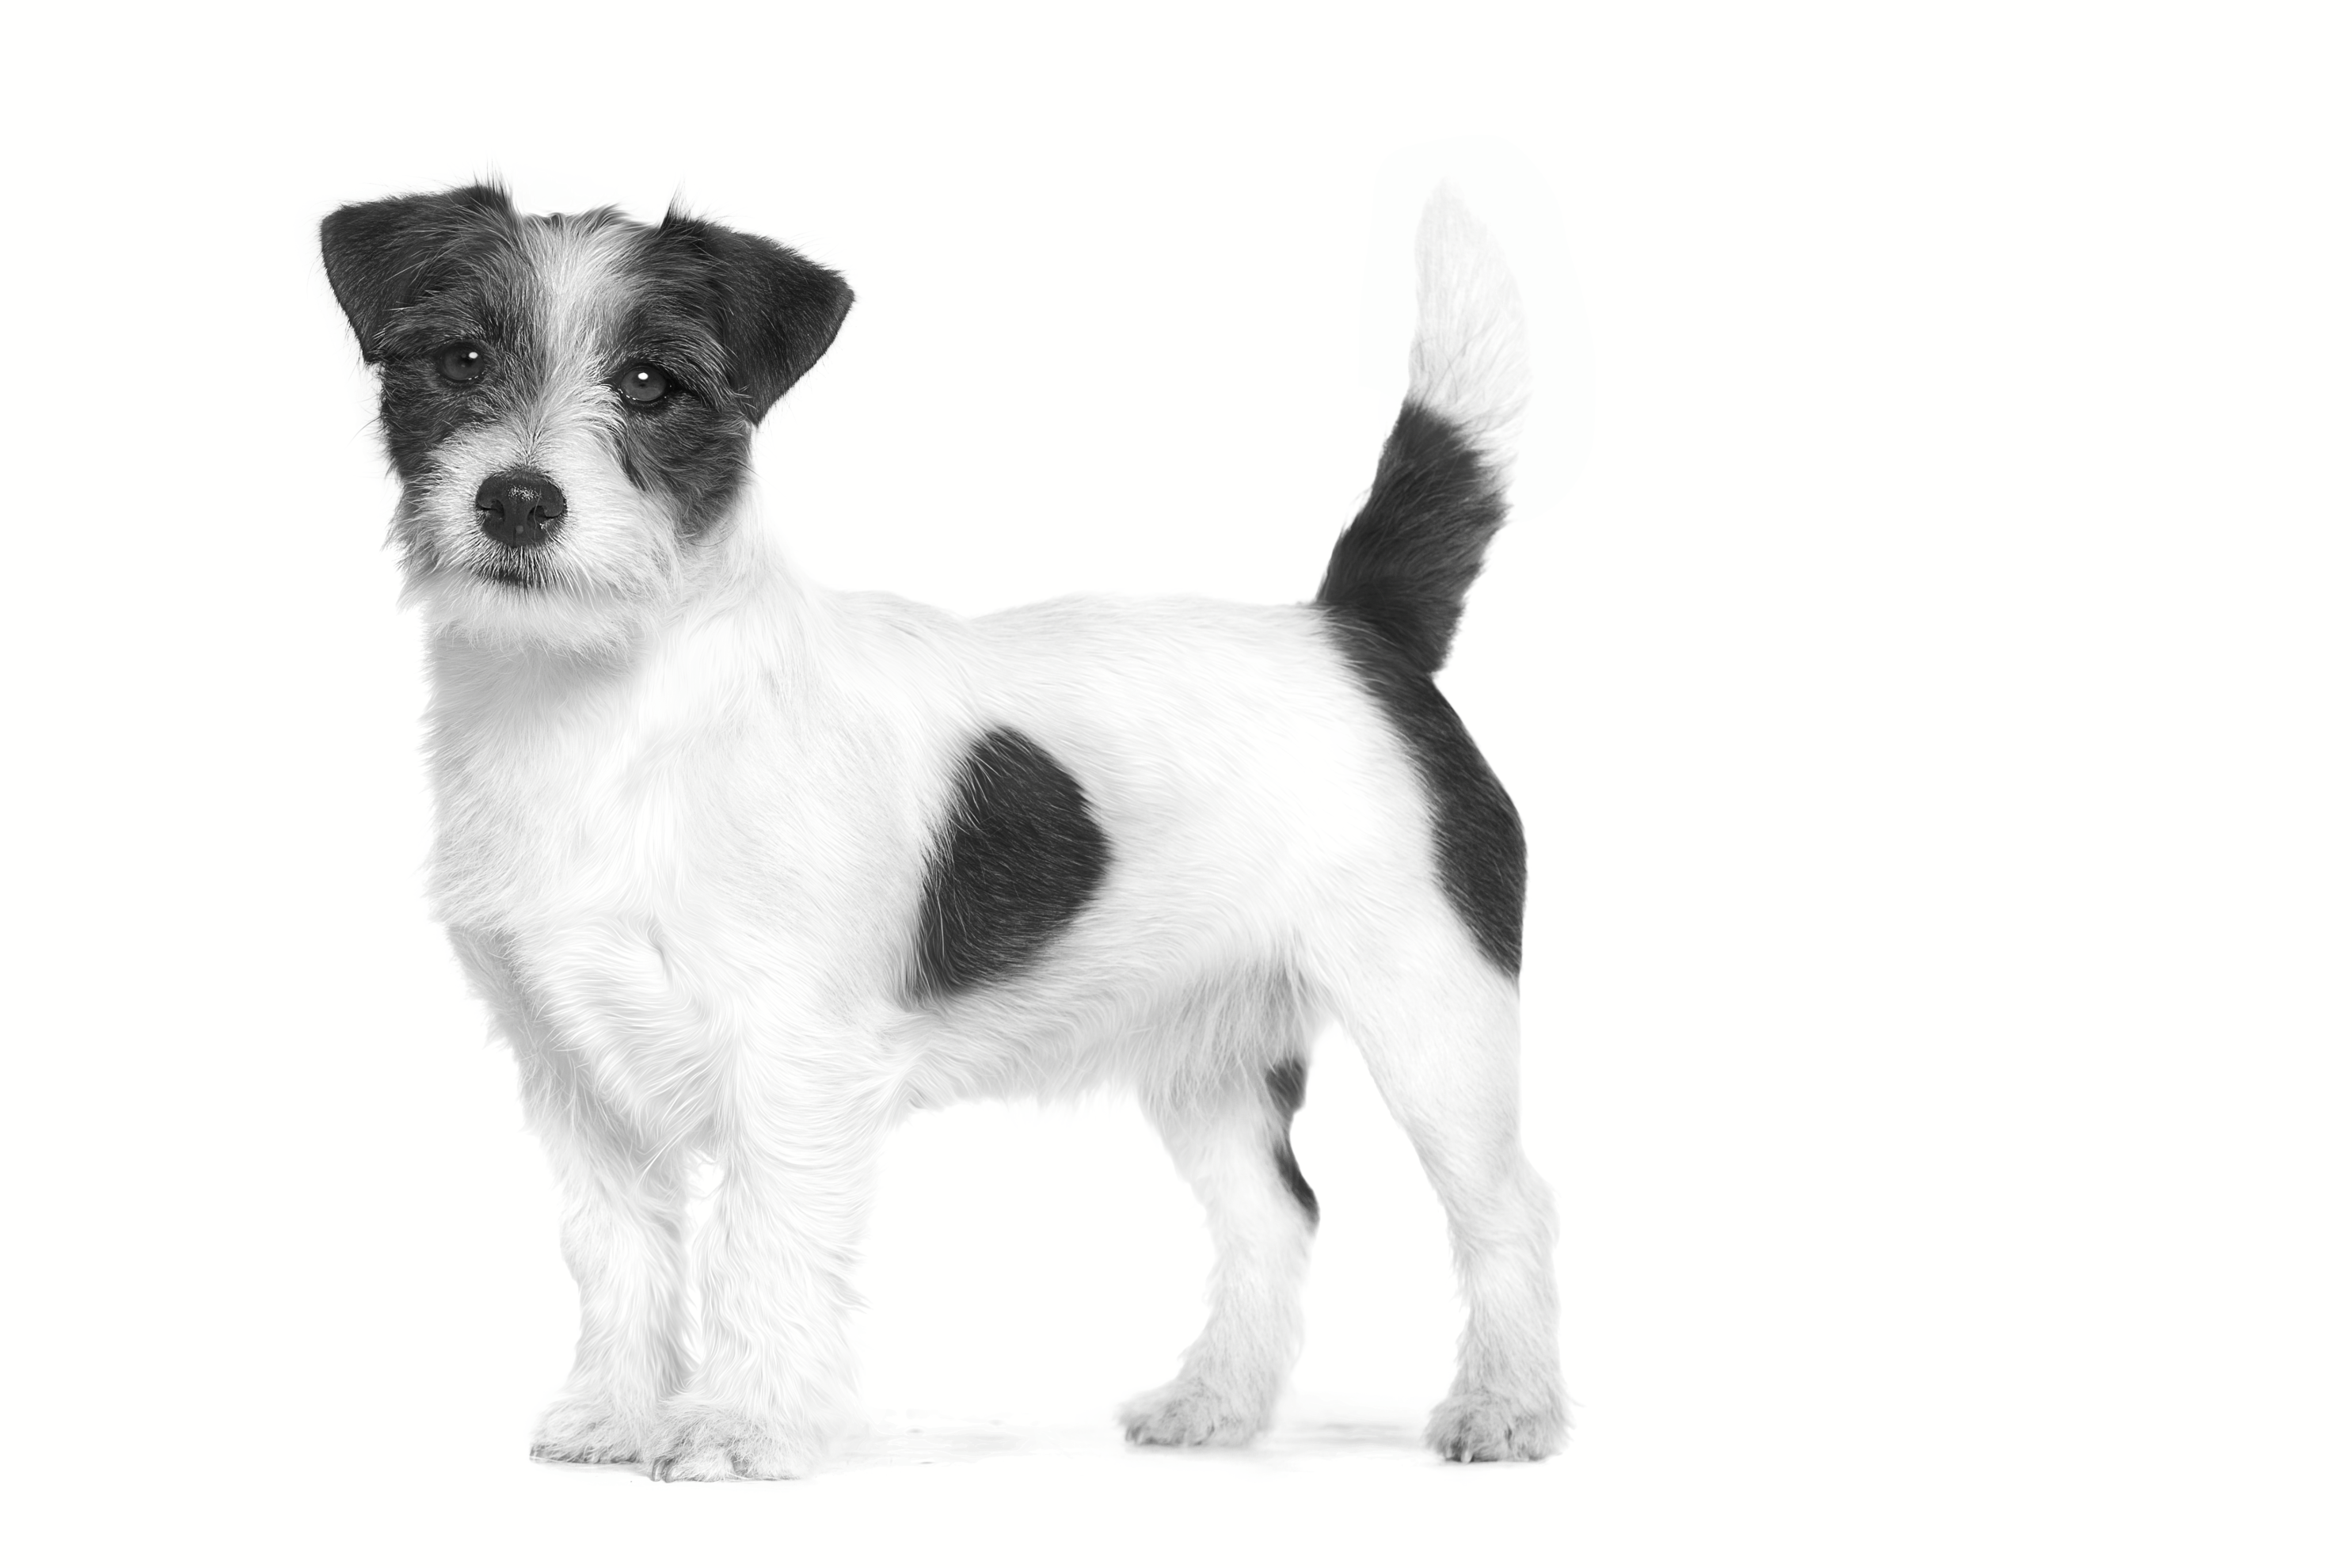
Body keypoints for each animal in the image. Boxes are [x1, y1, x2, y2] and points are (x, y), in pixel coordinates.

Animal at [313, 185, 1562, 1486]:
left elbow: (758, 1246)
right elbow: (618, 1249)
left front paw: (740, 1427)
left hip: (1434, 1017)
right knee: (1275, 1215)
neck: (606, 703)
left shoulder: (789, 1064)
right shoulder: (572, 1074)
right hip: (1206, 1048)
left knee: (1507, 1205)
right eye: (460, 359)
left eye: (652, 382)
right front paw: (616, 1410)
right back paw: (1216, 1399)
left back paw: (1508, 1405)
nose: (518, 499)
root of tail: (1355, 634)